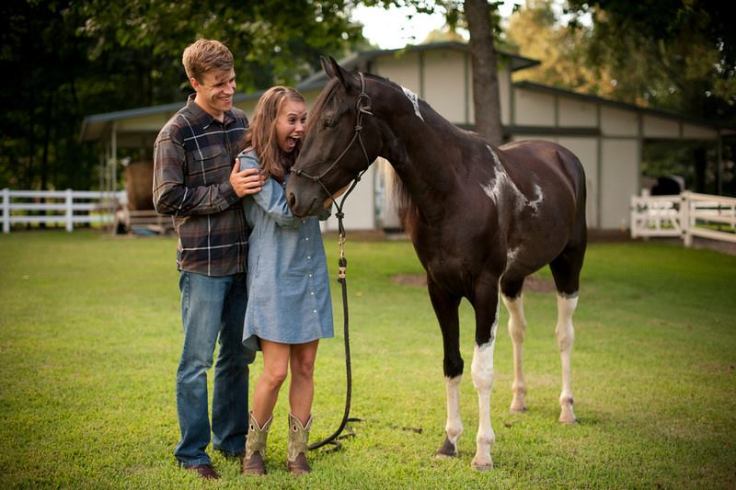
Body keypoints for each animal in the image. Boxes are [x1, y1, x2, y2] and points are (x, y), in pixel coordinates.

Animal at [286, 57, 587, 470]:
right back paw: (519, 400)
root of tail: (562, 156)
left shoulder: (483, 289)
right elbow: (452, 363)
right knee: (519, 331)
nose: (293, 196)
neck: (456, 187)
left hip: (568, 265)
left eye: (329, 121)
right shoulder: (440, 289)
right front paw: (450, 442)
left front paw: (482, 452)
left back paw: (567, 409)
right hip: (514, 280)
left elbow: (481, 371)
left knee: (564, 335)